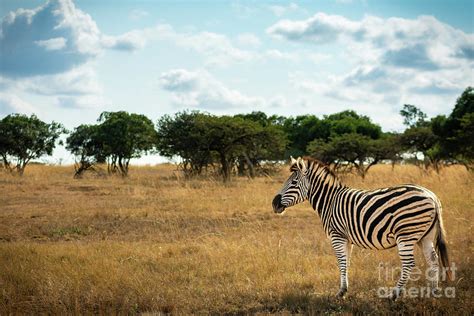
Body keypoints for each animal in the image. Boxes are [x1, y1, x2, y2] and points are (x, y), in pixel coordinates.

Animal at [272, 157, 450, 300]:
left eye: (293, 183)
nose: (274, 204)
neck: (330, 201)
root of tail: (432, 196)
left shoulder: (337, 235)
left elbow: (341, 261)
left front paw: (341, 293)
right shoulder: (346, 238)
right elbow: (346, 262)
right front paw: (344, 289)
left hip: (406, 234)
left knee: (409, 263)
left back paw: (394, 295)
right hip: (425, 236)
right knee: (433, 260)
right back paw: (433, 293)